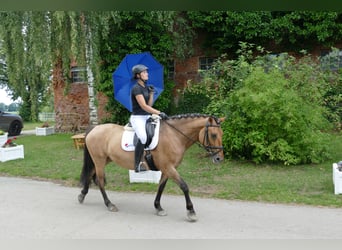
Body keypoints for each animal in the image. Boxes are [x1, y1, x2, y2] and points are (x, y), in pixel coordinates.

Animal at [79, 113, 226, 221]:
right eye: (213, 135)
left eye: (222, 134)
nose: (219, 159)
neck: (174, 135)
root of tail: (95, 128)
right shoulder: (169, 168)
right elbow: (184, 186)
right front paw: (191, 211)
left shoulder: (167, 169)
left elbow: (161, 187)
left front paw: (158, 207)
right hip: (99, 160)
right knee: (100, 181)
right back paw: (109, 204)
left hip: (103, 160)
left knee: (90, 174)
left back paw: (82, 195)